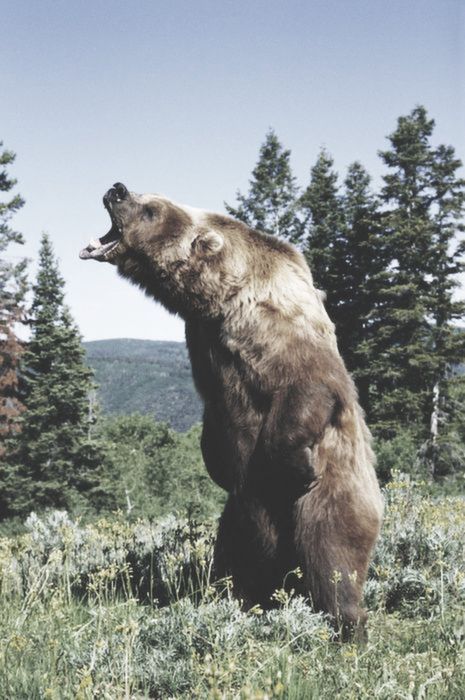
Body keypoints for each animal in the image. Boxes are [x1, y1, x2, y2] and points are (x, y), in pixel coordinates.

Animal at [80, 182, 384, 640]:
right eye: (145, 198)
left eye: (152, 209)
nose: (117, 189)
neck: (223, 298)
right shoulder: (205, 346)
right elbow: (215, 418)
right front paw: (217, 463)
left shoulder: (281, 331)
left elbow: (308, 388)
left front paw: (297, 464)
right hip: (236, 519)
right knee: (235, 557)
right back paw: (240, 601)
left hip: (337, 492)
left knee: (330, 554)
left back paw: (347, 624)